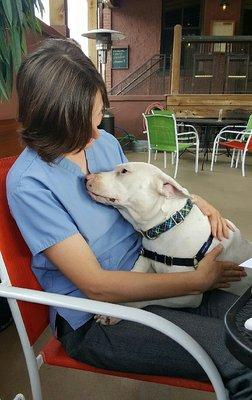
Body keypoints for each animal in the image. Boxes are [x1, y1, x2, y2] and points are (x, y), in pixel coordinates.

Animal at [86, 161, 252, 320]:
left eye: (124, 171)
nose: (87, 178)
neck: (166, 226)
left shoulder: (188, 296)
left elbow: (148, 297)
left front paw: (115, 313)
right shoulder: (143, 260)